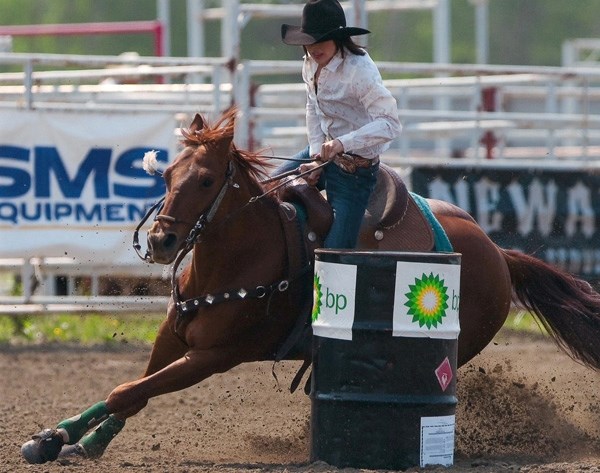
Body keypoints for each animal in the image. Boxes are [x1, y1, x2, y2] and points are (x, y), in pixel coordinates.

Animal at [22, 109, 600, 462]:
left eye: (206, 180)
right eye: (166, 177)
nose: (162, 241)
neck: (232, 260)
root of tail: (498, 252)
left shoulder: (216, 355)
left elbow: (130, 389)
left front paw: (62, 438)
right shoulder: (174, 335)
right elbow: (132, 392)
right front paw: (63, 438)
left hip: (462, 344)